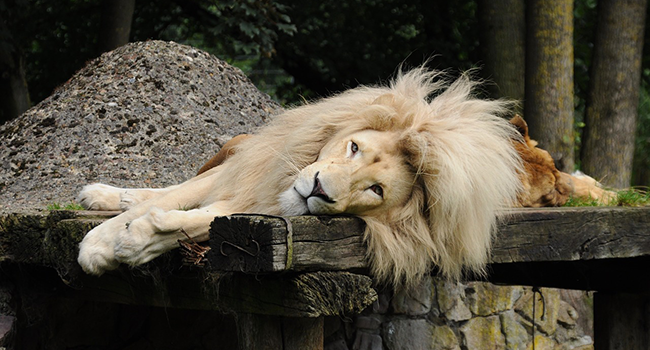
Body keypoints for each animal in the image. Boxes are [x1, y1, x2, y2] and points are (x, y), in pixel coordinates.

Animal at [76, 68, 520, 288]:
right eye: (354, 148)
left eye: (375, 190)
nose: (319, 190)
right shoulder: (245, 172)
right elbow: (166, 199)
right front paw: (98, 244)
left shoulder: (252, 207)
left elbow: (196, 221)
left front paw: (135, 241)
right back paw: (103, 194)